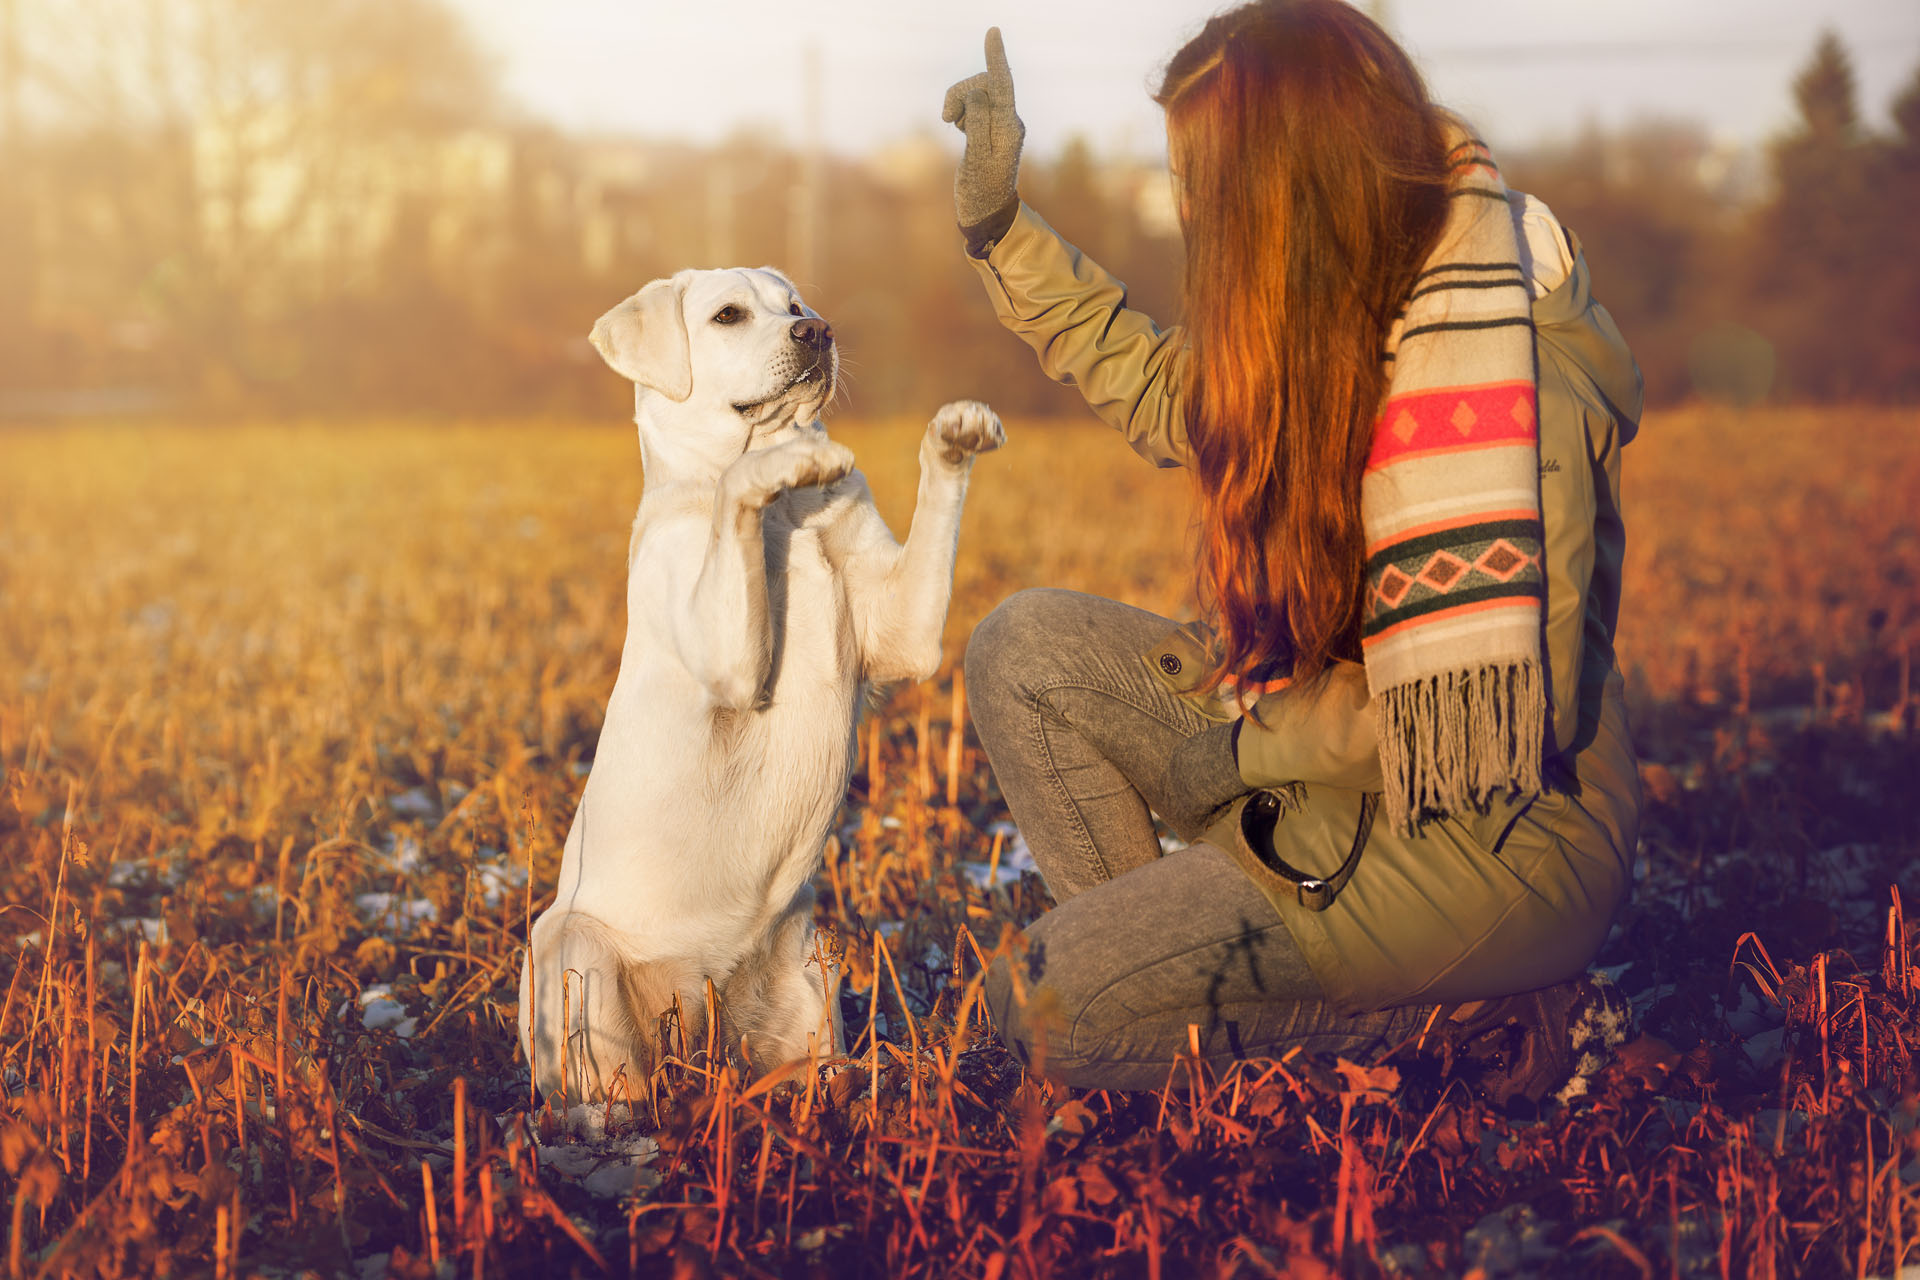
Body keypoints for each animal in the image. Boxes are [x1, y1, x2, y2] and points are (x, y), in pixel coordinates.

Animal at [518, 262, 1013, 1105]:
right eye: (727, 315)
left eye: (796, 306)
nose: (817, 331)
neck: (790, 521)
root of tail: (704, 1012)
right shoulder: (729, 661)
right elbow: (735, 497)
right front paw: (777, 463)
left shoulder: (904, 636)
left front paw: (954, 432)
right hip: (573, 952)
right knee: (605, 1098)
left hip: (813, 979)